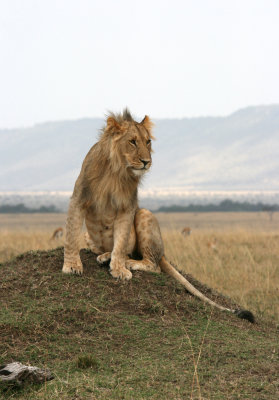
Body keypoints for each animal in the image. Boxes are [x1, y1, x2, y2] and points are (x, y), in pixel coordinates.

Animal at [62, 108, 255, 322]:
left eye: (148, 142)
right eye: (132, 141)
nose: (146, 162)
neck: (116, 170)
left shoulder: (128, 207)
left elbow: (120, 245)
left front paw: (119, 269)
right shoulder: (79, 197)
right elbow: (71, 236)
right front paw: (72, 265)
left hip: (144, 214)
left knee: (150, 264)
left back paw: (119, 260)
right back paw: (104, 255)